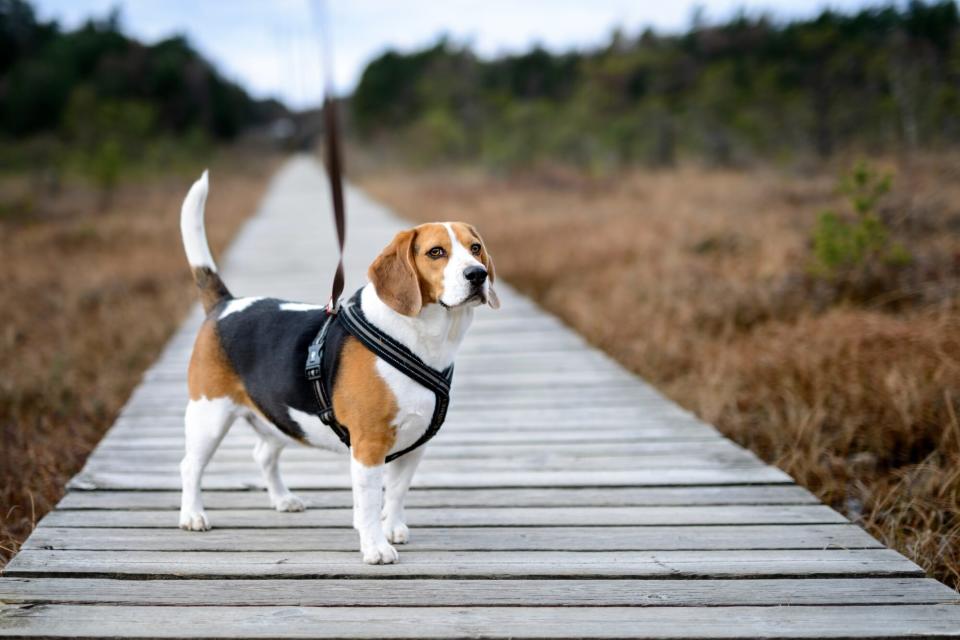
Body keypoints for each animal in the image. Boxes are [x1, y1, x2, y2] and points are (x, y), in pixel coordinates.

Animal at [175, 171, 498, 564]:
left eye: (476, 248)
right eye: (436, 252)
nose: (477, 275)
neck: (420, 338)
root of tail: (225, 304)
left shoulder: (415, 444)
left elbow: (396, 492)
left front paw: (391, 527)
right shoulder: (369, 445)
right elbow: (370, 500)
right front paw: (376, 546)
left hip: (276, 416)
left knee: (263, 454)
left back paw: (283, 499)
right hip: (209, 415)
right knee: (191, 466)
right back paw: (193, 515)